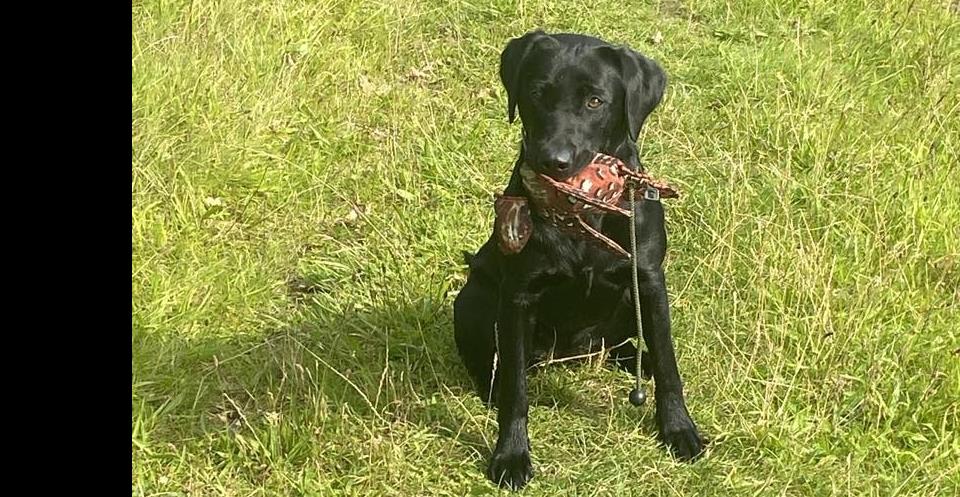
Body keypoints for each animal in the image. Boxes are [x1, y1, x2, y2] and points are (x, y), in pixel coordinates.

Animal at [450, 31, 704, 488]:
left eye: (594, 101)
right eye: (536, 93)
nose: (554, 160)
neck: (584, 211)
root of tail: (571, 353)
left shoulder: (649, 280)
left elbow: (668, 365)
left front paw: (678, 429)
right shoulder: (518, 297)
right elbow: (515, 391)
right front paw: (511, 454)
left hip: (627, 305)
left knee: (627, 347)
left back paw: (637, 363)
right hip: (474, 300)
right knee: (492, 365)